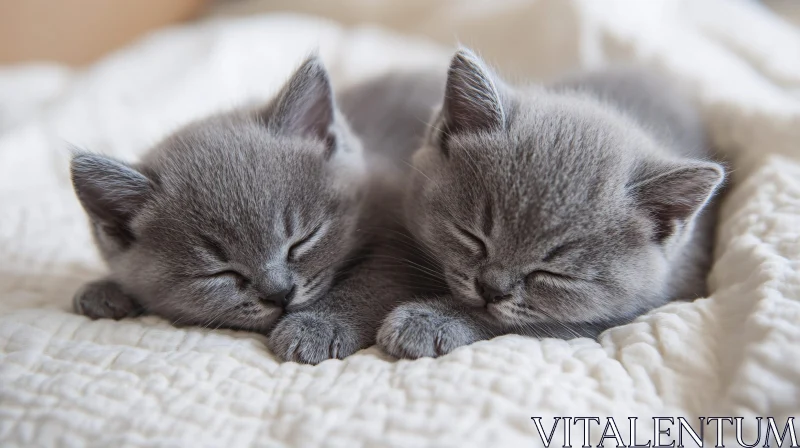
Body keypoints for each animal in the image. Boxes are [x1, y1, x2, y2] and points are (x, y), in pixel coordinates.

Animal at [376, 47, 724, 358]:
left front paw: (430, 320)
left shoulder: (620, 316)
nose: (492, 290)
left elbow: (517, 324)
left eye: (556, 275)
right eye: (472, 236)